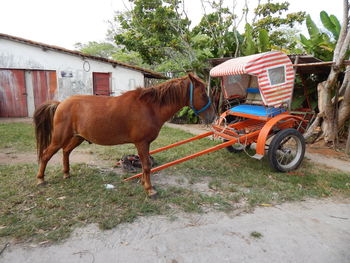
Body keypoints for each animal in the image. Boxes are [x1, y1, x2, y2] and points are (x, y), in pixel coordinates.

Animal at [34, 73, 216, 197]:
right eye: (203, 94)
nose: (212, 117)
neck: (150, 107)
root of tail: (60, 104)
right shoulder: (141, 142)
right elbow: (147, 165)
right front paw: (150, 189)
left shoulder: (145, 144)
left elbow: (145, 165)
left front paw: (143, 182)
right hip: (59, 138)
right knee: (46, 155)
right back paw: (40, 179)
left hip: (78, 137)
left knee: (65, 151)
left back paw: (66, 173)